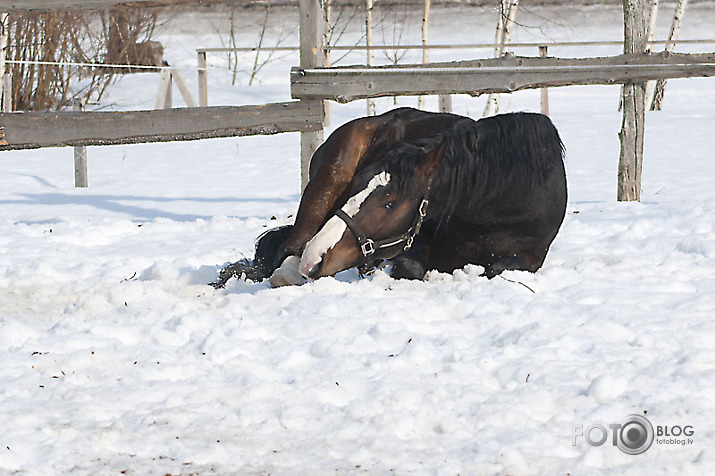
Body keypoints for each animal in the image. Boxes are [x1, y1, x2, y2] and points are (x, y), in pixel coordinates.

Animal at [210, 107, 568, 286]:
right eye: (354, 189)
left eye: (390, 202)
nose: (317, 257)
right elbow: (410, 267)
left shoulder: (534, 255)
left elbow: (498, 267)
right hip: (322, 191)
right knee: (287, 251)